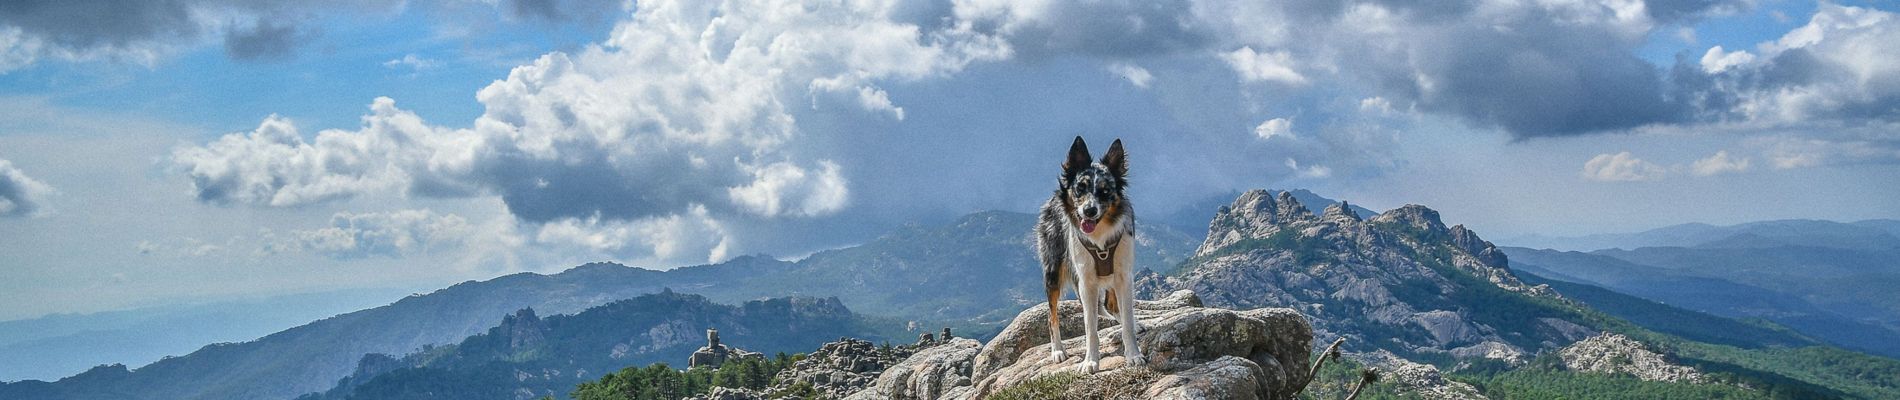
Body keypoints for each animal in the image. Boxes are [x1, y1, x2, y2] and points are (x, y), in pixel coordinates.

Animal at [1041, 135, 1140, 373]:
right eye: (1080, 188)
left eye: (1104, 191)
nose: (1089, 210)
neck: (1100, 236)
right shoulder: (1086, 281)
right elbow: (1090, 327)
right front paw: (1090, 362)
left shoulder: (1124, 275)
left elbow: (1127, 319)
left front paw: (1133, 354)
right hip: (1053, 272)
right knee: (1051, 315)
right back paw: (1057, 351)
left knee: (1113, 306)